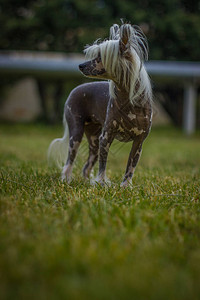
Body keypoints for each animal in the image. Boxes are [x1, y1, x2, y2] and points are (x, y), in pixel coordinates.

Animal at [48, 23, 152, 186]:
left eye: (100, 57)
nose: (80, 65)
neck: (129, 102)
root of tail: (75, 89)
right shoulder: (106, 137)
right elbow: (103, 164)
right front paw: (102, 183)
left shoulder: (138, 143)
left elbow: (130, 167)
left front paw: (125, 186)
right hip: (76, 135)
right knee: (69, 162)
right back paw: (66, 180)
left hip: (94, 141)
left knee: (86, 166)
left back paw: (86, 182)